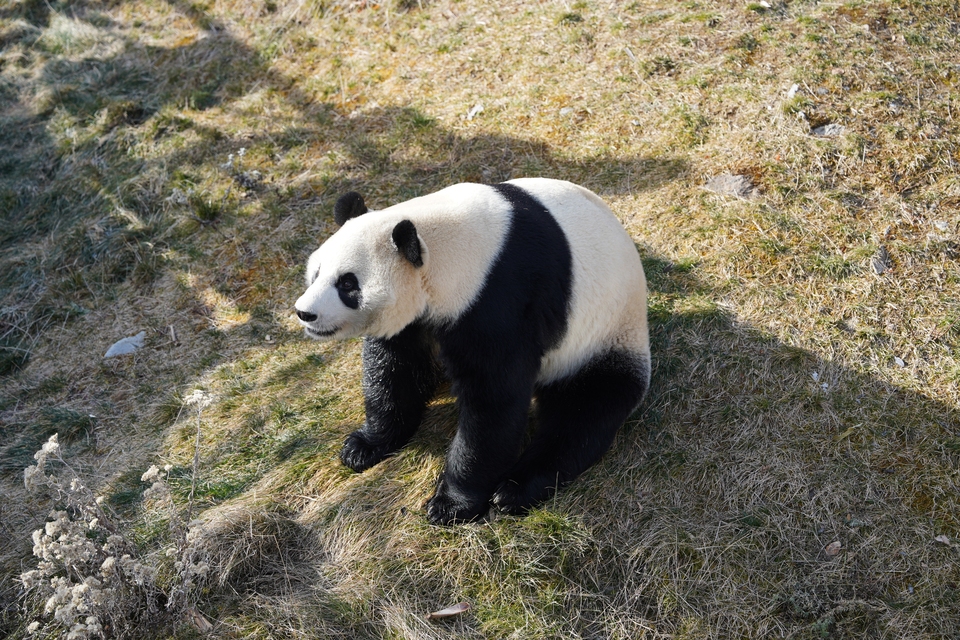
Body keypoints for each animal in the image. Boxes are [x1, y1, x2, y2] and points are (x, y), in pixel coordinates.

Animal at [294, 176, 652, 524]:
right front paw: (363, 446)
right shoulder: (416, 320)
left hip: (604, 336)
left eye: (347, 284)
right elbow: (394, 369)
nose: (304, 313)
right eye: (317, 272)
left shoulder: (499, 298)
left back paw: (515, 490)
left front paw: (451, 504)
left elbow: (493, 400)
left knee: (583, 409)